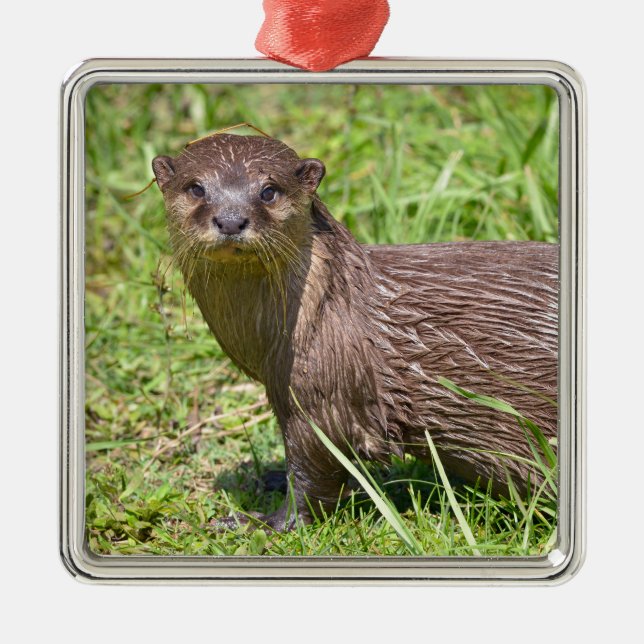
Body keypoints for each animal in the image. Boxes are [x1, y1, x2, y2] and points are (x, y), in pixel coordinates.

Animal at [152, 133, 558, 531]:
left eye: (269, 190)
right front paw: (269, 478)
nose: (231, 220)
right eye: (196, 188)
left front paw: (261, 522)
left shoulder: (325, 393)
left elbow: (315, 473)